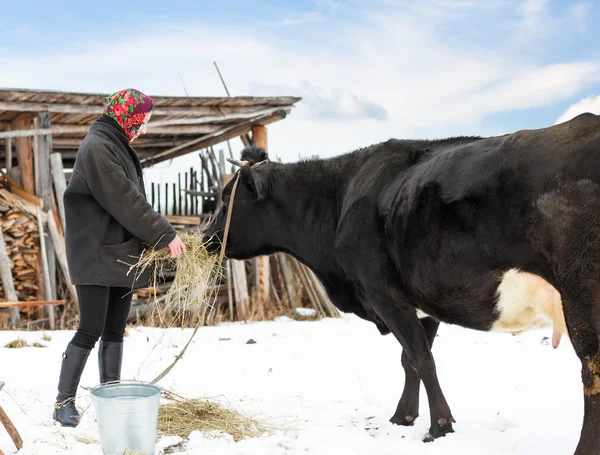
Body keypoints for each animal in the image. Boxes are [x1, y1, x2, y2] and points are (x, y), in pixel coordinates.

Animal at [204, 111, 600, 455]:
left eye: (226, 200)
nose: (205, 236)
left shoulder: (384, 292)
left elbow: (421, 358)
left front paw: (439, 427)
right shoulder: (425, 300)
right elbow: (410, 358)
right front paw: (403, 417)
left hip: (581, 293)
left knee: (591, 371)